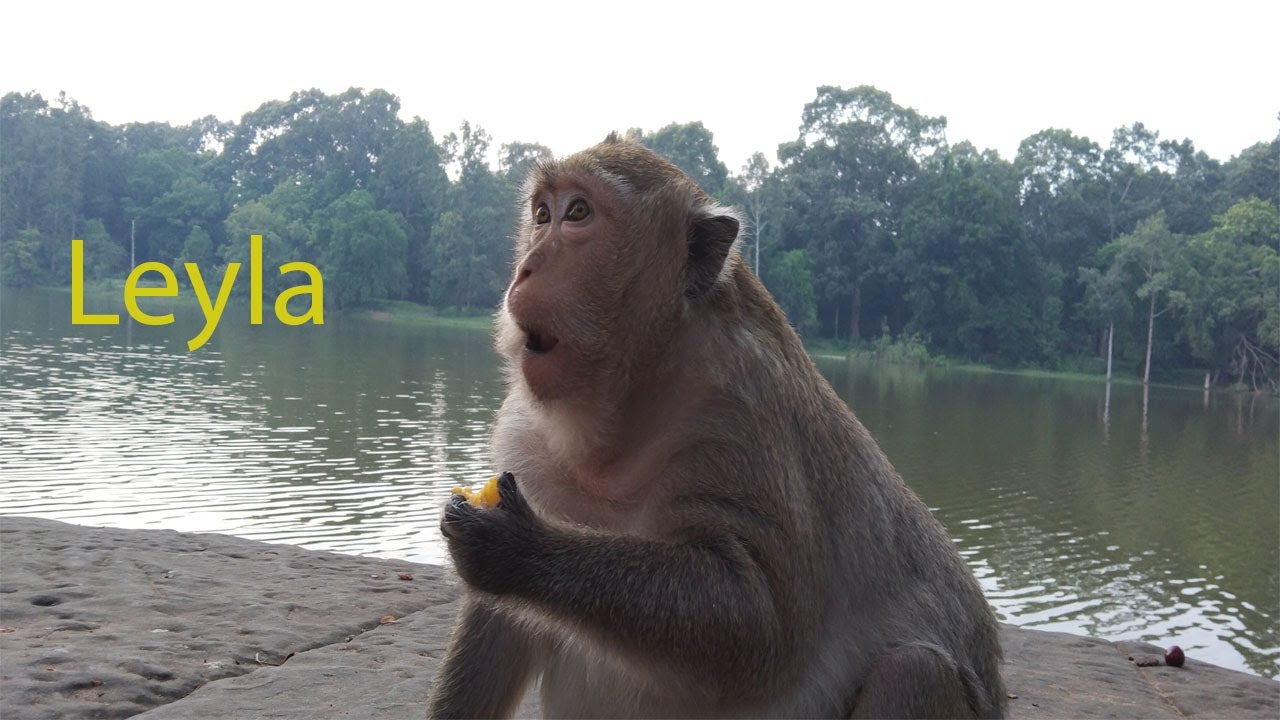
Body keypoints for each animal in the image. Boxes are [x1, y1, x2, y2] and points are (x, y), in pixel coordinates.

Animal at [429, 134, 1005, 718]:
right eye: (542, 214)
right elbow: (499, 622)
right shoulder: (526, 432)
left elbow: (762, 624)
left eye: (578, 214)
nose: (526, 269)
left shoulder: (741, 412)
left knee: (913, 670)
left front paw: (518, 549)